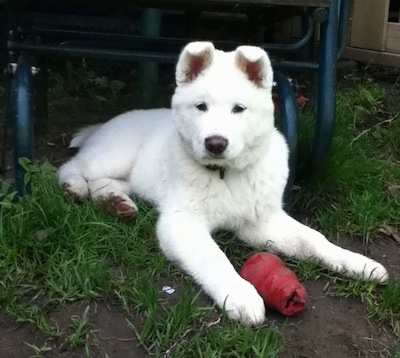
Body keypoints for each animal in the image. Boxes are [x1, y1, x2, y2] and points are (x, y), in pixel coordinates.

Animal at [57, 42, 390, 324]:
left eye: (239, 109)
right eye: (200, 107)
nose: (215, 143)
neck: (225, 174)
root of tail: (107, 124)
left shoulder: (260, 222)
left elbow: (313, 240)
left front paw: (357, 263)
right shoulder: (182, 222)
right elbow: (214, 258)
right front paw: (241, 295)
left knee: (107, 183)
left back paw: (116, 203)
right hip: (113, 155)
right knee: (69, 167)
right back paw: (75, 187)